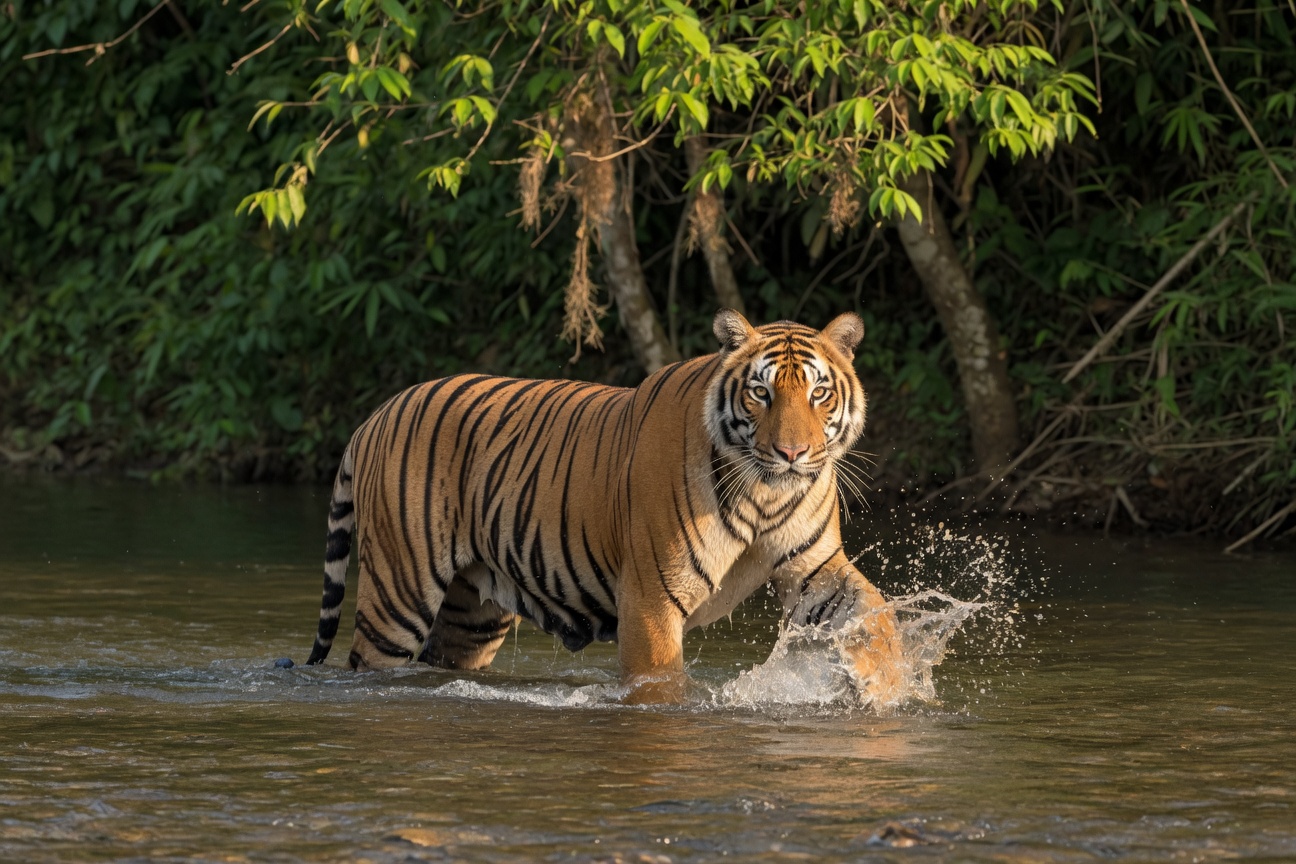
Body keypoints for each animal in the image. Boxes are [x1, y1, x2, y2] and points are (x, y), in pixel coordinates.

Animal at [304, 309, 904, 705]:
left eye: (818, 393)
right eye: (761, 393)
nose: (792, 453)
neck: (764, 491)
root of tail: (374, 415)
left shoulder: (815, 567)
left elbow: (876, 610)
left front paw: (889, 686)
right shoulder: (651, 596)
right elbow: (659, 682)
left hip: (470, 617)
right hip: (398, 597)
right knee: (368, 663)